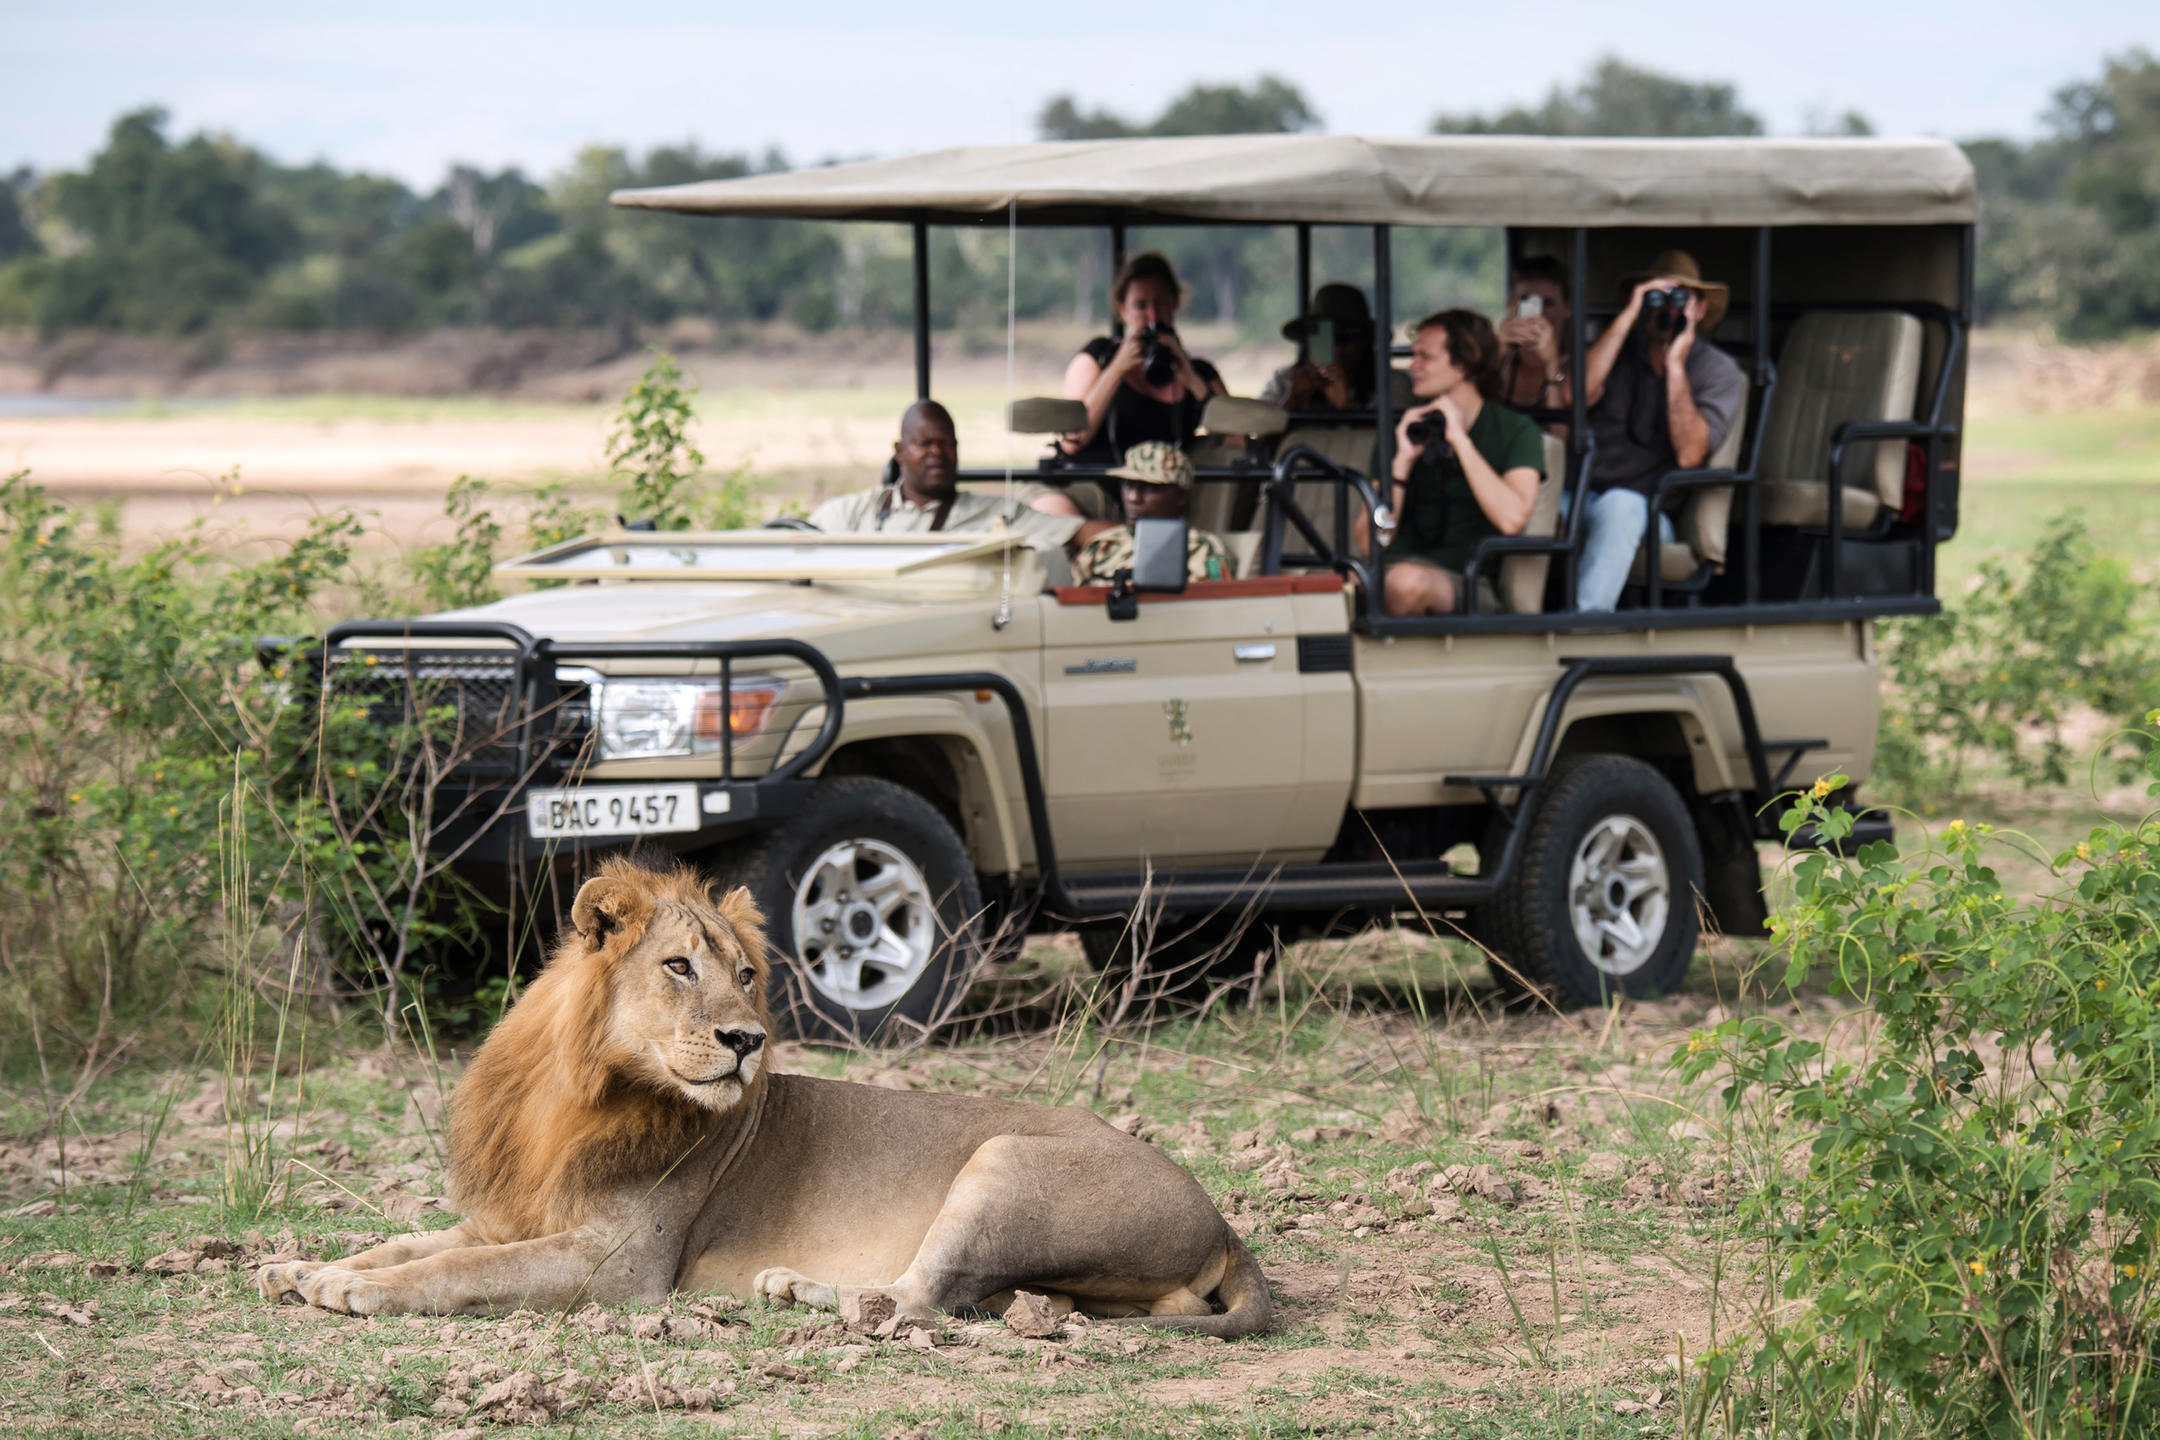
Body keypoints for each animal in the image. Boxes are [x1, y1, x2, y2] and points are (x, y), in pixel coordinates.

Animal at [256, 856, 1270, 1336]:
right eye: (679, 966)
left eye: (746, 975)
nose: (746, 1041)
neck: (577, 1097)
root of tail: (1223, 1223)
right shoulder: (511, 1214)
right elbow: (414, 1242)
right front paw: (304, 1267)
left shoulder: (621, 1266)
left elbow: (460, 1271)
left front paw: (354, 1290)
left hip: (1005, 1160)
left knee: (916, 1300)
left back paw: (793, 1287)